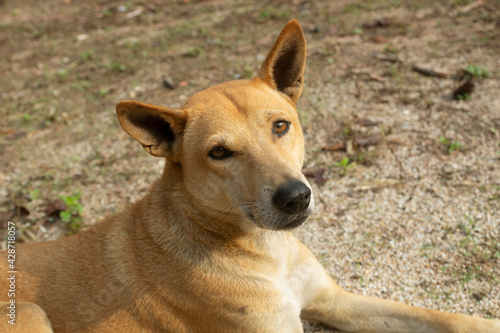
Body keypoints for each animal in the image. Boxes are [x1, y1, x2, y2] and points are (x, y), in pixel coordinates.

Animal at [0, 20, 500, 332]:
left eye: (280, 125)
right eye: (220, 153)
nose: (295, 197)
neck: (260, 248)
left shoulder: (332, 300)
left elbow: (447, 319)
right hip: (29, 311)